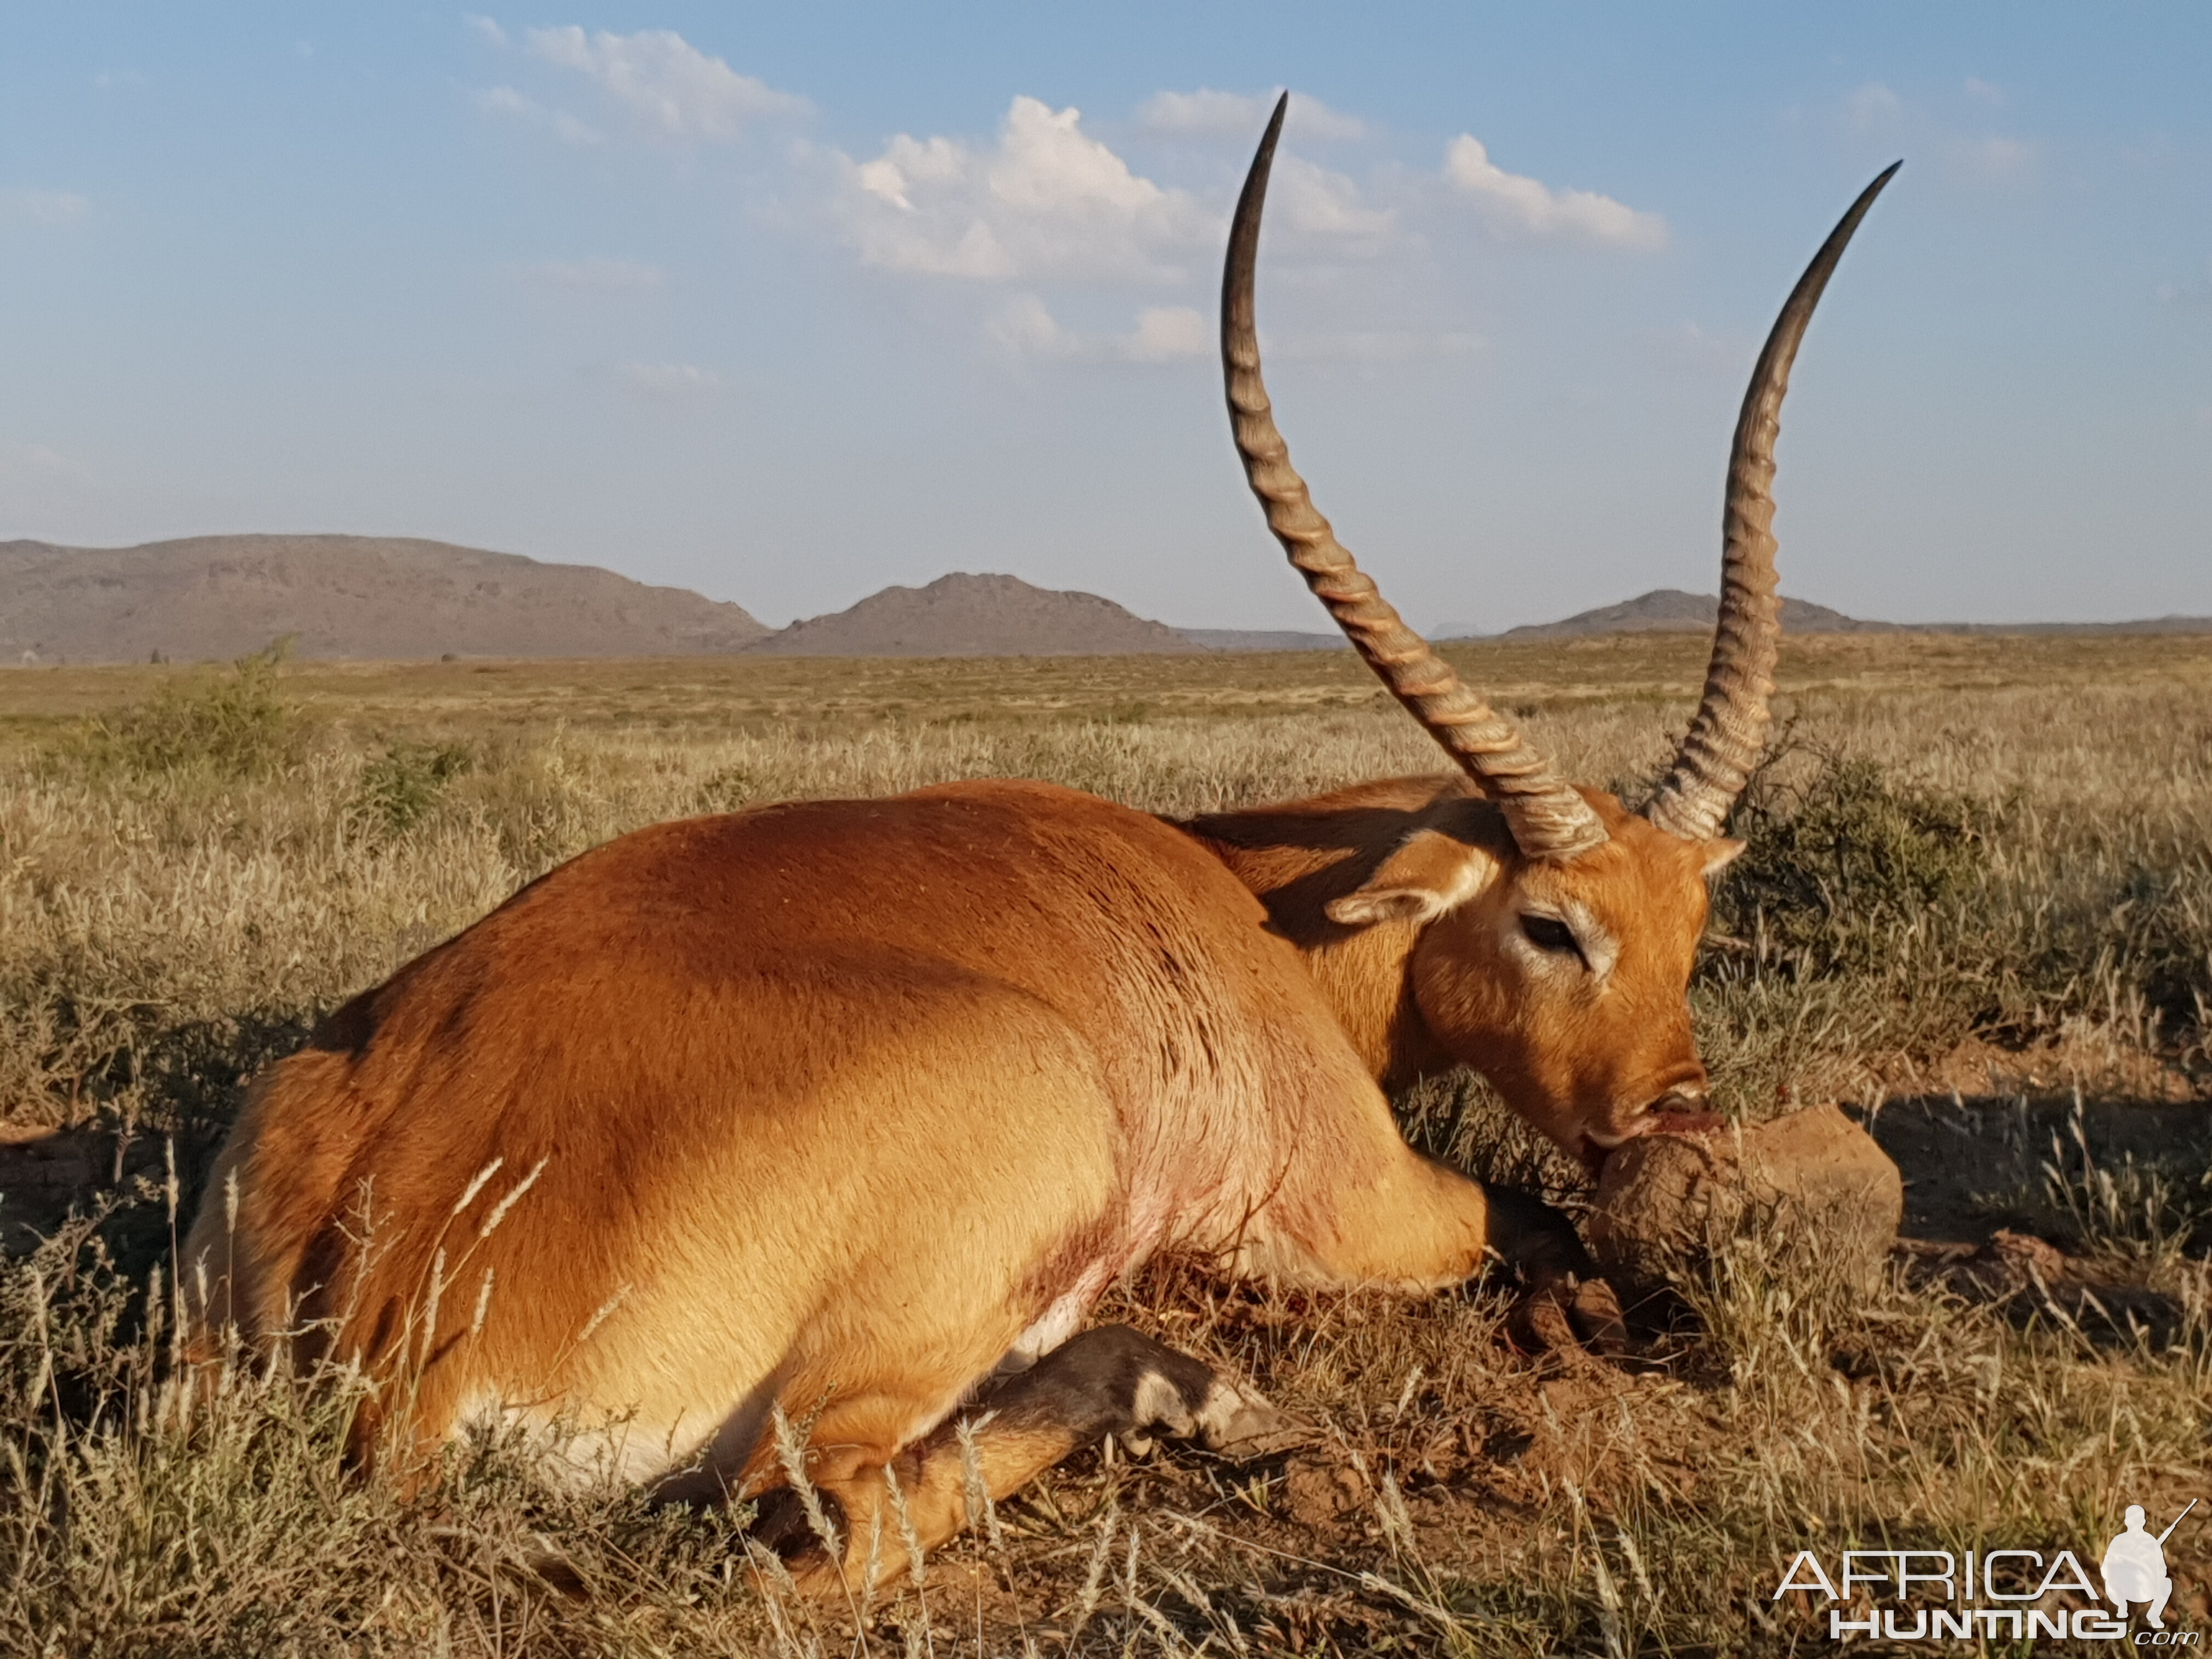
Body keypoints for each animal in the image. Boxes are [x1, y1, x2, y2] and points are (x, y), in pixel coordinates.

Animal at [181, 100, 1893, 1583]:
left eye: (1690, 932)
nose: (1676, 1121)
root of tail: (393, 1305)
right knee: (820, 1518)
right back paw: (1180, 1390)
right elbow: (1520, 1215)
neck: (1255, 905)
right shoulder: (1366, 1208)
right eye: (1553, 924)